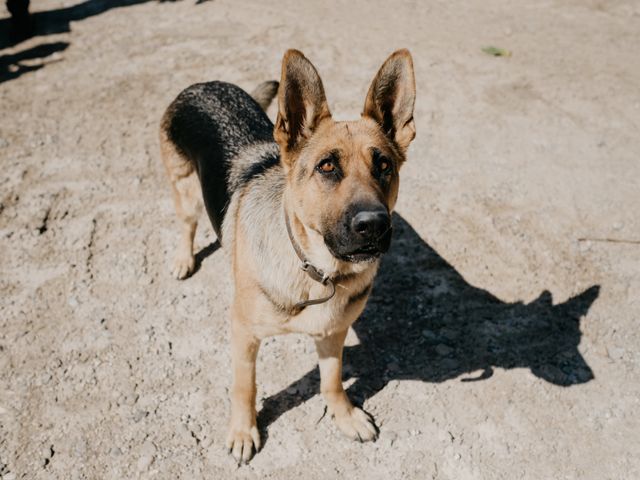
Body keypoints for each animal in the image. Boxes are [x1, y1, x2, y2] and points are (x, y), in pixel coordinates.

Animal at [161, 47, 416, 462]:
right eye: (327, 166)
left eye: (384, 166)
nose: (374, 225)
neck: (317, 270)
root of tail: (204, 84)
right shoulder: (243, 334)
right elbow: (244, 386)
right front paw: (243, 430)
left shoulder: (333, 333)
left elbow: (332, 380)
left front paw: (343, 414)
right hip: (185, 190)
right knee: (187, 223)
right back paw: (184, 258)